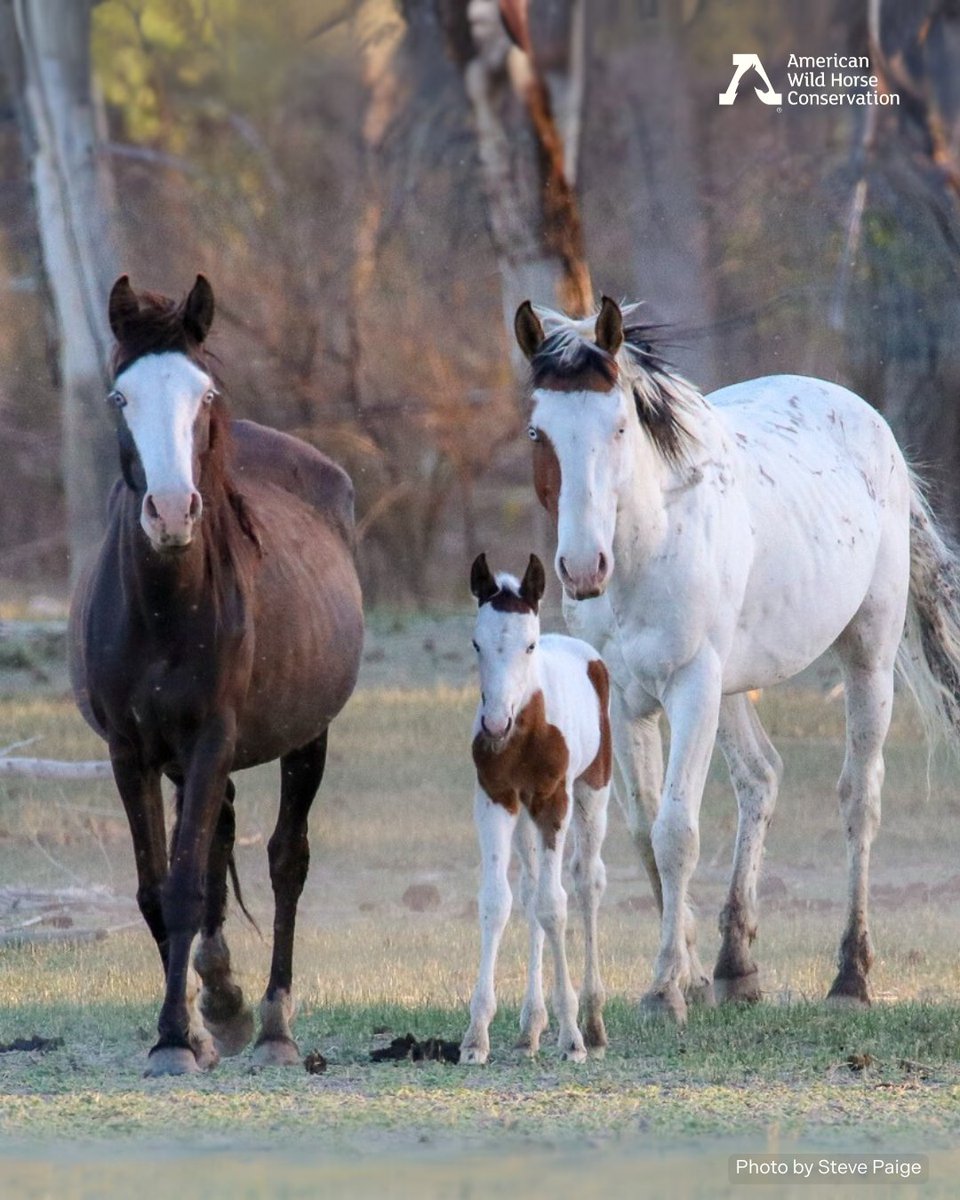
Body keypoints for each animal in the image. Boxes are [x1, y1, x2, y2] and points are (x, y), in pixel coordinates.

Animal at [68, 275, 364, 1074]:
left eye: (203, 394)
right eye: (120, 396)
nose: (172, 511)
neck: (165, 607)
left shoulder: (209, 740)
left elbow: (186, 885)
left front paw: (177, 1037)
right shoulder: (132, 752)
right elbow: (159, 889)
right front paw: (196, 1026)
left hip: (308, 738)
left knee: (286, 861)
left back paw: (273, 1026)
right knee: (222, 840)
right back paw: (225, 1001)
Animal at [460, 552, 612, 1063]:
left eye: (528, 646)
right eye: (477, 644)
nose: (494, 724)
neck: (526, 730)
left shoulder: (552, 801)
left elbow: (554, 905)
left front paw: (572, 1037)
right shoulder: (496, 798)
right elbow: (498, 901)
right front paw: (476, 1036)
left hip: (593, 791)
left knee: (586, 882)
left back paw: (593, 1023)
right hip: (525, 817)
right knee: (527, 890)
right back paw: (530, 1026)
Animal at [512, 295, 960, 1023]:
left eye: (618, 427)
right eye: (537, 432)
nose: (582, 568)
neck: (648, 545)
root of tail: (869, 423)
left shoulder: (692, 685)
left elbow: (677, 832)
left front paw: (665, 990)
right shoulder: (627, 701)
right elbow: (644, 830)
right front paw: (690, 974)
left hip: (864, 655)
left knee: (858, 797)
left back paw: (851, 976)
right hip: (730, 690)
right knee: (761, 779)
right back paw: (735, 967)